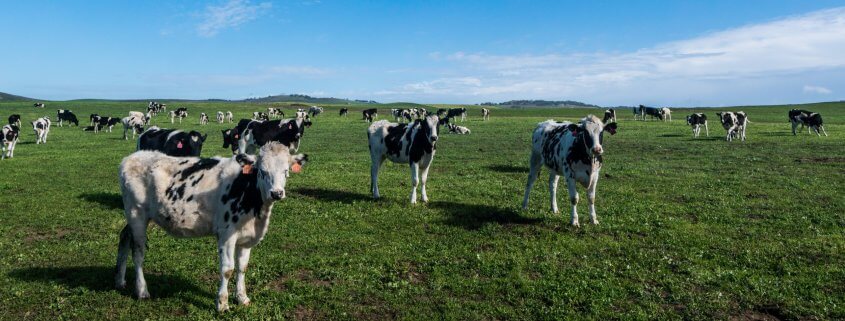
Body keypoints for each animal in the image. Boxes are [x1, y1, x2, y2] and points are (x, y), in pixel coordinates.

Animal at [113, 144, 306, 312]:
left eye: (286, 171)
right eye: (262, 171)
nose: (277, 193)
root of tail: (132, 157)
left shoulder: (247, 238)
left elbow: (242, 267)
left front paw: (242, 297)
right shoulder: (227, 235)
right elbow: (227, 269)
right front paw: (222, 304)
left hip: (139, 217)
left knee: (124, 237)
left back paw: (120, 281)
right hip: (136, 214)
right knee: (138, 253)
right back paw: (142, 291)